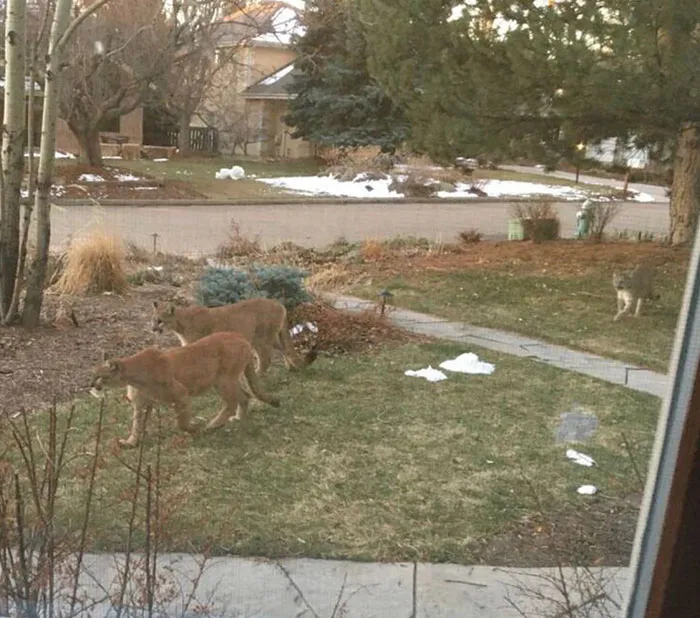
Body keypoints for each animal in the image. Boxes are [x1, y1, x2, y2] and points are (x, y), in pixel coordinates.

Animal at [91, 332, 280, 448]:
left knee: (233, 401)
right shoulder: (142, 404)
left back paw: (213, 424)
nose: (92, 385)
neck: (134, 375)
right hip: (228, 380)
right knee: (245, 396)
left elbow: (181, 422)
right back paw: (238, 418)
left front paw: (195, 428)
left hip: (223, 380)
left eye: (100, 376)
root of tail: (239, 335)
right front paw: (131, 442)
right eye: (93, 374)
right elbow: (137, 424)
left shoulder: (181, 394)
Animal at [151, 298, 317, 374]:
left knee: (266, 359)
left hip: (260, 339)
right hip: (270, 337)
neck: (180, 324)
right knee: (285, 349)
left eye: (159, 320)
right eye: (153, 319)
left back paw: (258, 375)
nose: (152, 328)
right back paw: (291, 367)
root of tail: (279, 303)